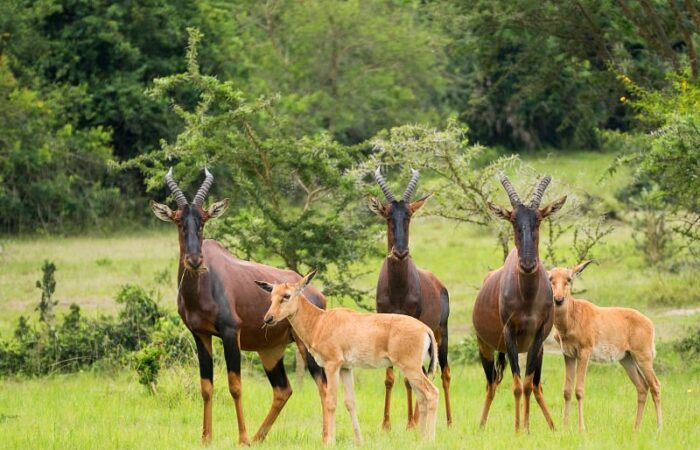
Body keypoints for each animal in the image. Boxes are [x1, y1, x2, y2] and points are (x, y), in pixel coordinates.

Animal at [150, 168, 328, 442]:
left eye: (203, 220)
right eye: (178, 221)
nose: (195, 260)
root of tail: (316, 294)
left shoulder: (230, 333)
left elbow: (235, 386)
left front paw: (242, 439)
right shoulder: (200, 334)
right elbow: (206, 386)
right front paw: (206, 438)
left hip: (305, 344)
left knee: (323, 384)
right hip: (270, 350)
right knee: (283, 390)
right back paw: (258, 438)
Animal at [254, 268, 440, 444]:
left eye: (286, 295)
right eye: (272, 296)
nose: (268, 318)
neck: (320, 321)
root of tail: (425, 329)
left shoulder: (332, 365)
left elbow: (331, 401)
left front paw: (329, 441)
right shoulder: (346, 368)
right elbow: (350, 402)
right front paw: (359, 441)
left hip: (410, 368)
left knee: (432, 393)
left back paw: (429, 439)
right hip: (413, 370)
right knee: (422, 398)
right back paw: (421, 438)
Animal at [370, 168, 452, 428]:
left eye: (409, 216)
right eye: (387, 215)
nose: (400, 252)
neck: (398, 288)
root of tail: (439, 284)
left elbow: (408, 380)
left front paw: (410, 424)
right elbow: (389, 377)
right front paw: (386, 424)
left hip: (440, 333)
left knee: (443, 373)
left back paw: (447, 422)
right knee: (424, 373)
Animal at [474, 173, 568, 432]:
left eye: (539, 219)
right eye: (513, 220)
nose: (527, 264)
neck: (527, 297)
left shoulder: (538, 336)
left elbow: (526, 384)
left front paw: (526, 428)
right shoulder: (509, 335)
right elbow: (516, 385)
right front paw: (518, 430)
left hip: (539, 350)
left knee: (535, 385)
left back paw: (551, 425)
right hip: (486, 347)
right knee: (491, 384)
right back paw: (481, 425)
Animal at [548, 262, 660, 430]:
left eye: (568, 279)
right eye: (550, 278)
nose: (558, 299)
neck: (571, 317)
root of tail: (649, 322)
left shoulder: (584, 353)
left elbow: (579, 390)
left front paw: (582, 429)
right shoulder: (568, 355)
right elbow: (567, 391)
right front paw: (564, 428)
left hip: (643, 358)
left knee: (655, 386)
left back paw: (659, 428)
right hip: (627, 359)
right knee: (642, 387)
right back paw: (636, 429)